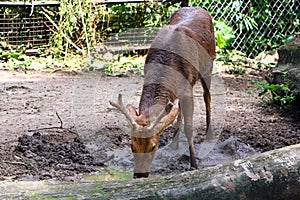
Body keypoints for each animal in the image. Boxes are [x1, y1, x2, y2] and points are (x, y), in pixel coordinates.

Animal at [109, 7, 216, 178]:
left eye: (153, 146)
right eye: (132, 146)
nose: (140, 174)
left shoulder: (187, 88)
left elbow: (189, 127)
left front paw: (194, 164)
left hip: (209, 65)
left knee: (207, 96)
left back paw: (209, 135)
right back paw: (174, 143)